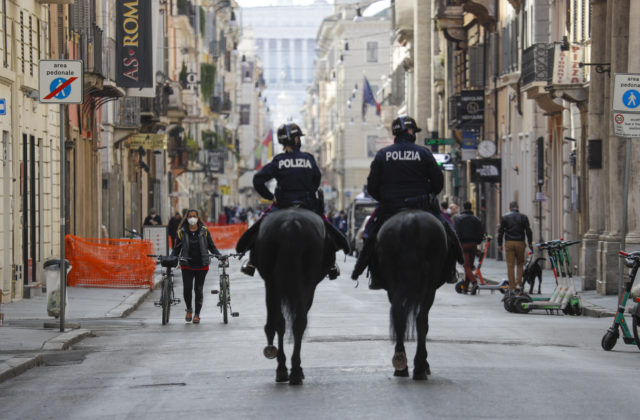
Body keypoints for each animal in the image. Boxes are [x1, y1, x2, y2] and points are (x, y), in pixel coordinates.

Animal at [245, 207, 336, 384]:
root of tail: (291, 224)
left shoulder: (270, 284)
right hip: (304, 282)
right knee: (298, 322)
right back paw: (294, 370)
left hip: (274, 282)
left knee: (281, 322)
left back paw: (283, 369)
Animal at [370, 210, 456, 380]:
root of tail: (411, 222)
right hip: (430, 285)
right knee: (421, 320)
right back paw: (419, 366)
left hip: (394, 281)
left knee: (400, 317)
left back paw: (401, 363)